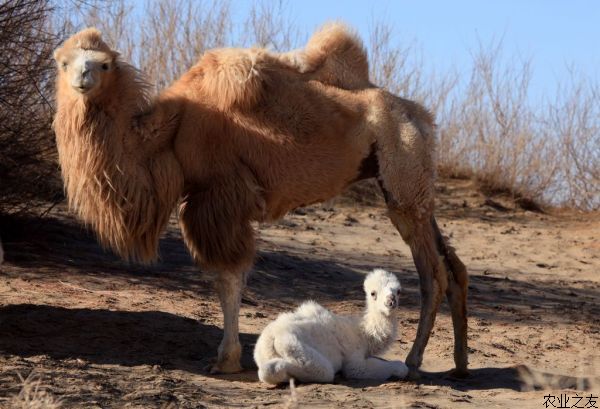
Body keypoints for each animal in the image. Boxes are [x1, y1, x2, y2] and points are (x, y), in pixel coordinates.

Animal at [253, 268, 408, 382]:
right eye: (373, 293)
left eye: (398, 291)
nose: (391, 301)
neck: (363, 334)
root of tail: (271, 339)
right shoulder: (354, 359)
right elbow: (359, 370)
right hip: (294, 347)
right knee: (324, 371)